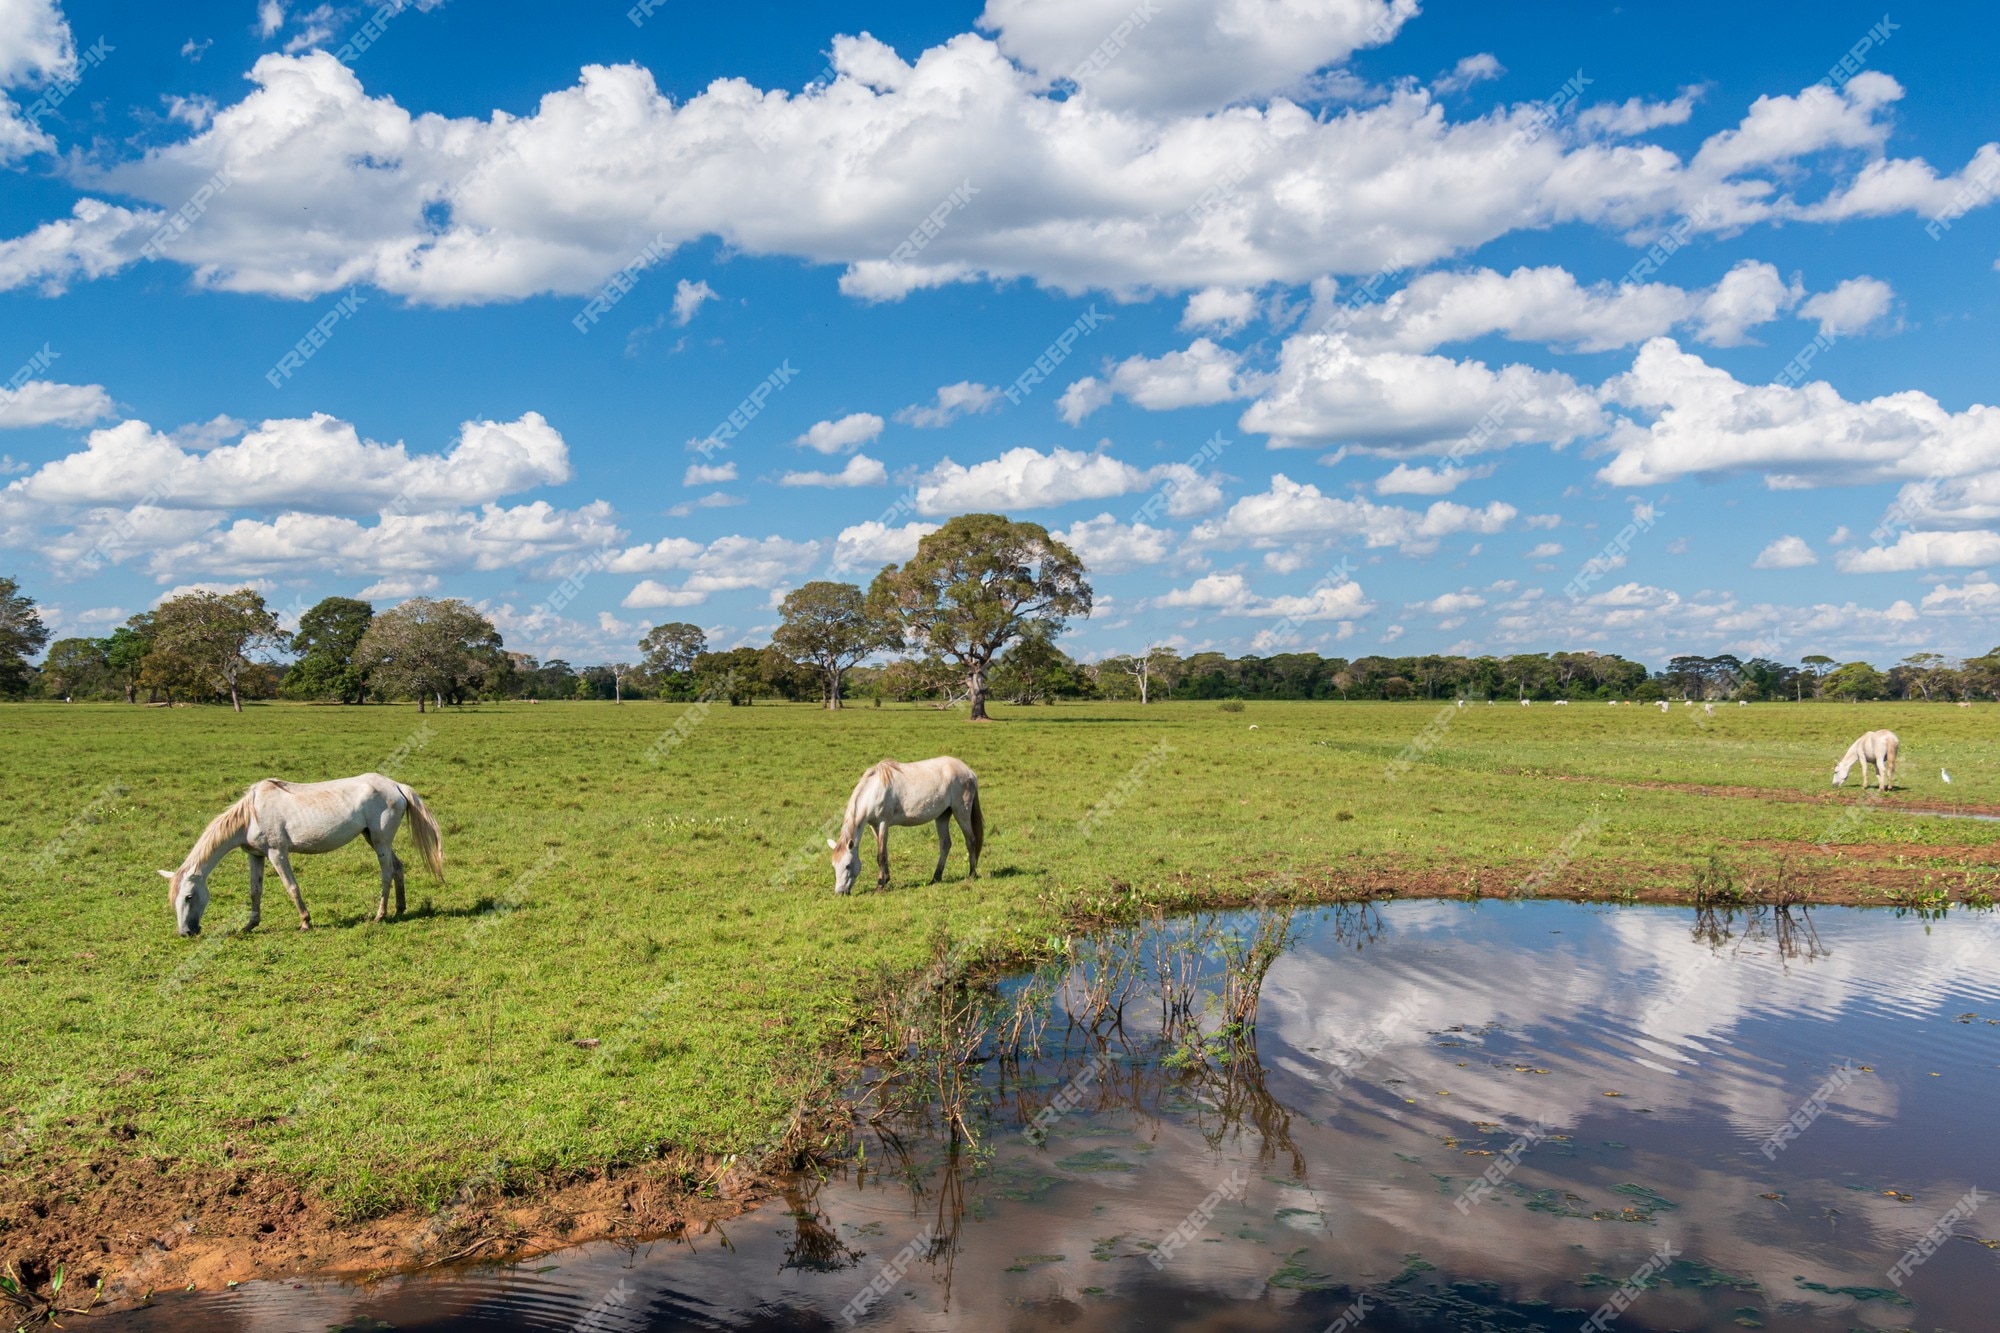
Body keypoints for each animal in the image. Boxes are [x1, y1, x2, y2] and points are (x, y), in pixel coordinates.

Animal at [163, 768, 446, 932]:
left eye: (188, 896)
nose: (186, 932)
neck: (252, 815)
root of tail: (396, 786)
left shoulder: (277, 853)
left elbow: (291, 887)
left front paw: (305, 922)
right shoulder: (255, 855)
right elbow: (255, 891)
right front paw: (250, 924)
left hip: (380, 842)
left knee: (386, 872)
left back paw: (380, 915)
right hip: (373, 839)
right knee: (398, 867)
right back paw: (400, 908)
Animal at [828, 756, 984, 892]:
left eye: (847, 865)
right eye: (834, 866)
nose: (840, 892)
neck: (875, 790)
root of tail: (969, 771)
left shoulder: (883, 823)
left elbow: (881, 855)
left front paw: (880, 886)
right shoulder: (874, 826)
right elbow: (884, 852)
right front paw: (886, 879)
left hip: (961, 812)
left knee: (971, 840)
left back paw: (971, 874)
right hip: (942, 815)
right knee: (945, 844)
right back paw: (936, 878)